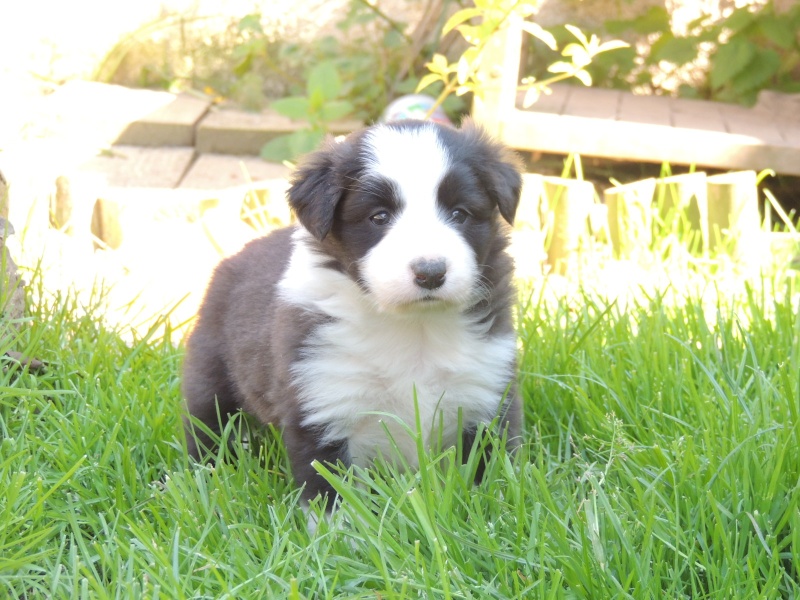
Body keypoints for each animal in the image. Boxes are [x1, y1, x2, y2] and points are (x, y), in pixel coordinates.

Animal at [181, 117, 524, 502]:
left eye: (459, 213)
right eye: (379, 216)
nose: (431, 273)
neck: (411, 327)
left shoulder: (486, 393)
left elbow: (489, 477)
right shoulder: (322, 399)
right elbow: (328, 491)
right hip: (211, 372)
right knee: (207, 424)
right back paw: (207, 473)